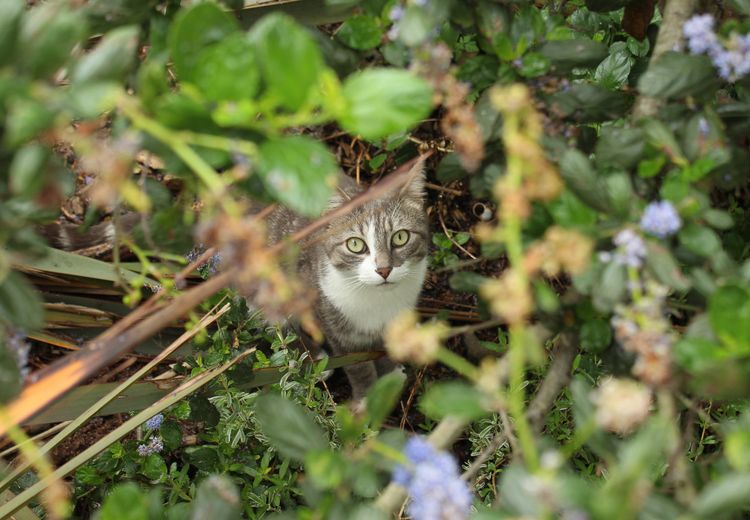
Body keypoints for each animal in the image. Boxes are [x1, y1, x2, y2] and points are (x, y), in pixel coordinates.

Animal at [264, 161, 428, 398]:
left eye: (400, 237)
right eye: (355, 244)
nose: (384, 269)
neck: (377, 300)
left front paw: (389, 376)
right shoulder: (332, 322)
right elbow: (357, 365)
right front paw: (367, 396)